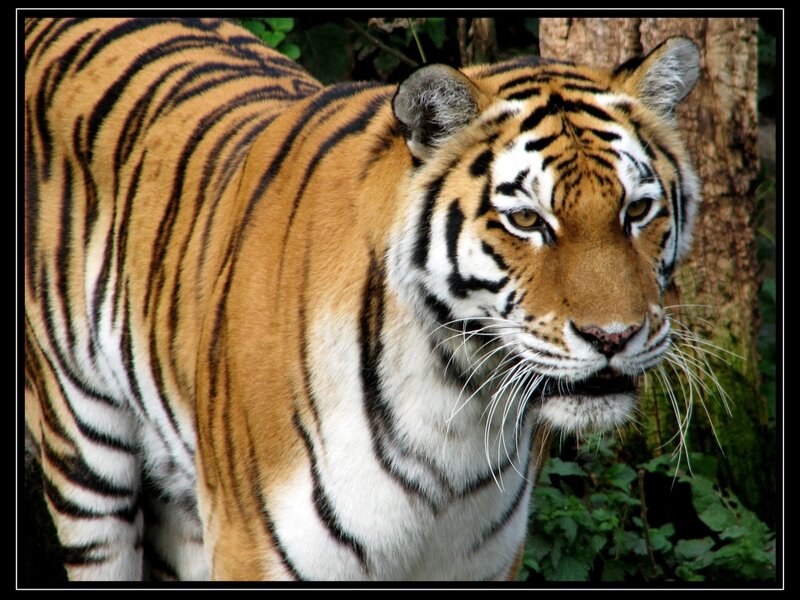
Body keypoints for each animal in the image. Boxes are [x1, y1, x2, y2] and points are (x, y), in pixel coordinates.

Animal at [23, 17, 702, 581]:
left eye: (638, 210)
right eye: (527, 220)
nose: (614, 338)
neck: (456, 405)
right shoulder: (251, 548)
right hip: (84, 455)